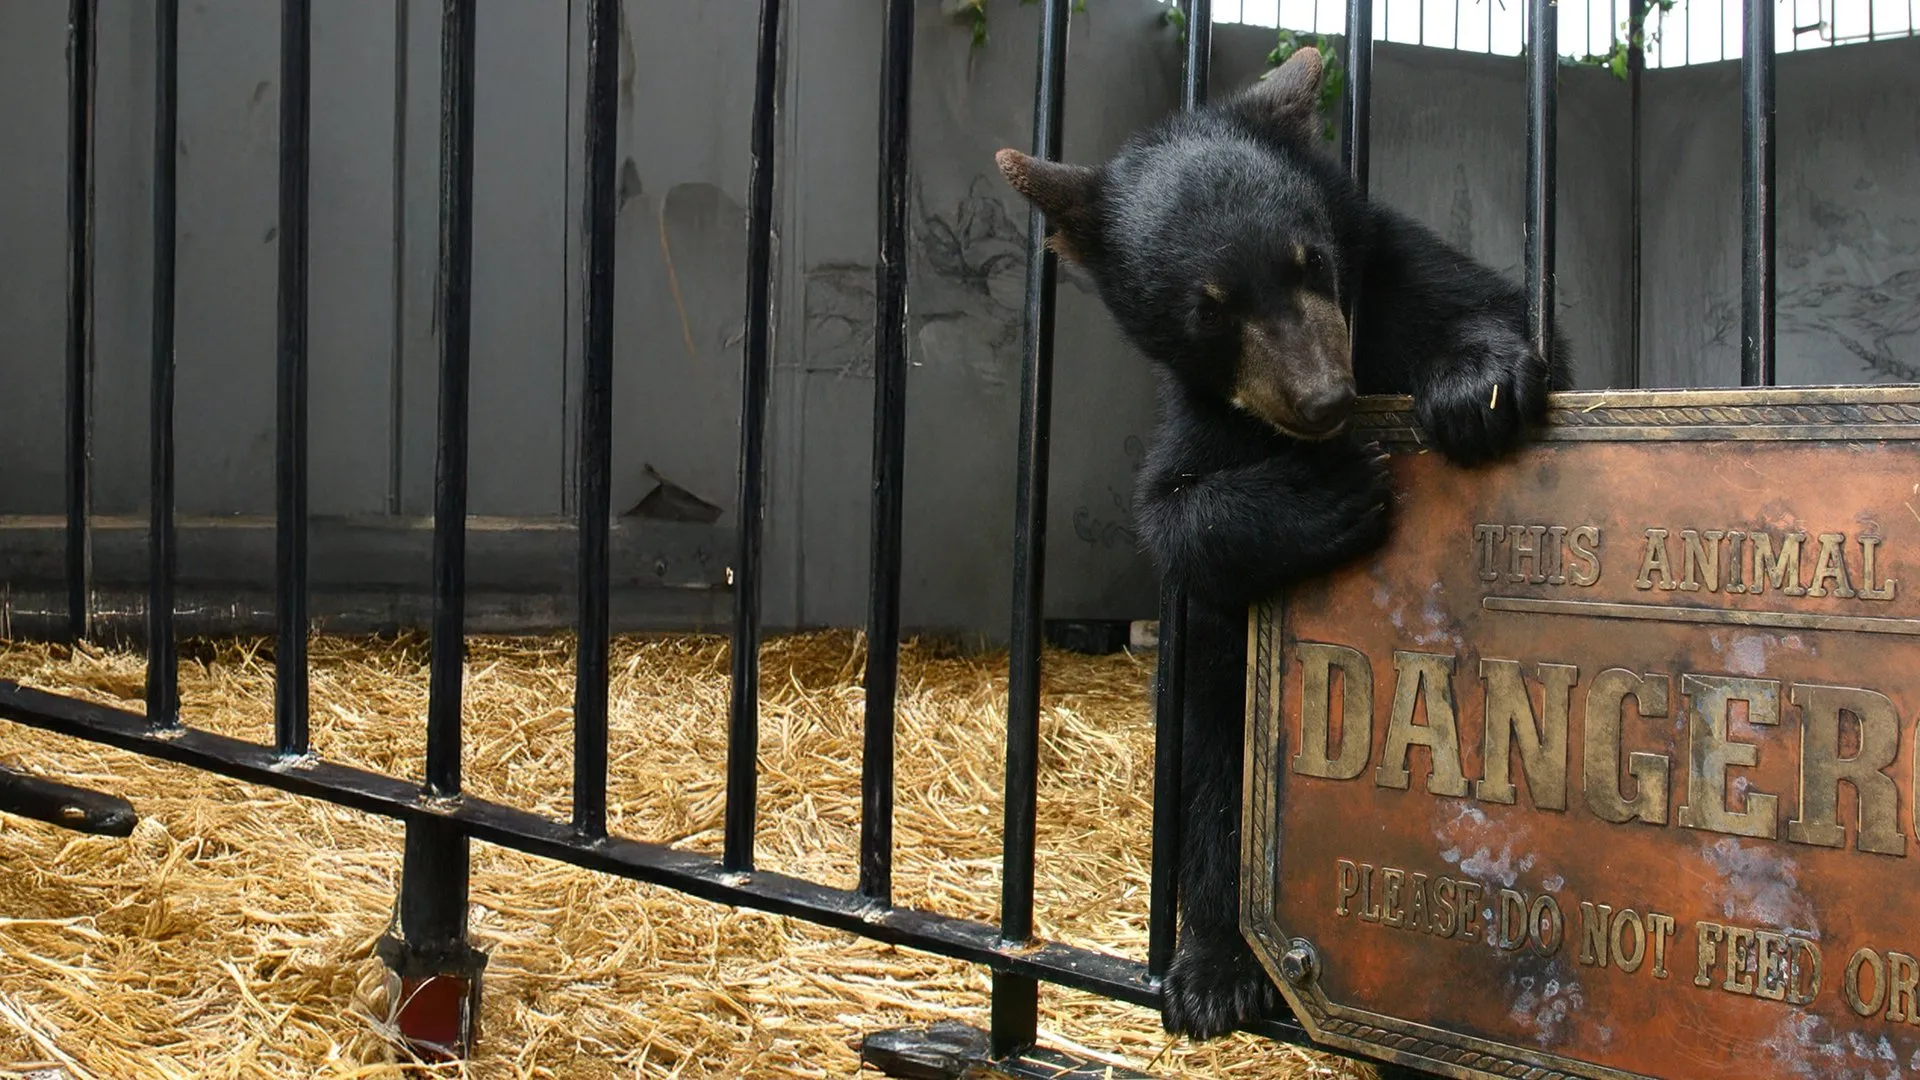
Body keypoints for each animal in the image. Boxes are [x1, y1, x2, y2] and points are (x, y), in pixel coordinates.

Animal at [994, 45, 1570, 1040]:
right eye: (1210, 308)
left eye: (1311, 259)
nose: (1322, 400)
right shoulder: (1201, 423)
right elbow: (1175, 516)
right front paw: (1323, 493)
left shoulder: (1407, 275)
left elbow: (1498, 320)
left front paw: (1473, 389)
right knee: (1210, 774)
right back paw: (1215, 969)